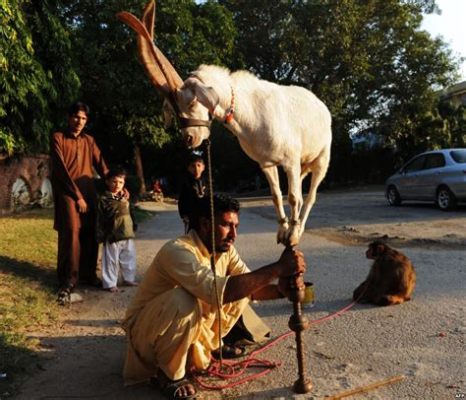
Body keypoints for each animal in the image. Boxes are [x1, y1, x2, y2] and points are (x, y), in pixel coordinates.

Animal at [118, 1, 334, 247]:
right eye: (173, 108)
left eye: (191, 101)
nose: (189, 139)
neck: (252, 111)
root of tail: (322, 107)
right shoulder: (267, 163)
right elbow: (276, 195)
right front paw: (282, 232)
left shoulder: (290, 160)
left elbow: (294, 197)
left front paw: (293, 234)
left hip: (322, 157)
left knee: (311, 194)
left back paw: (300, 225)